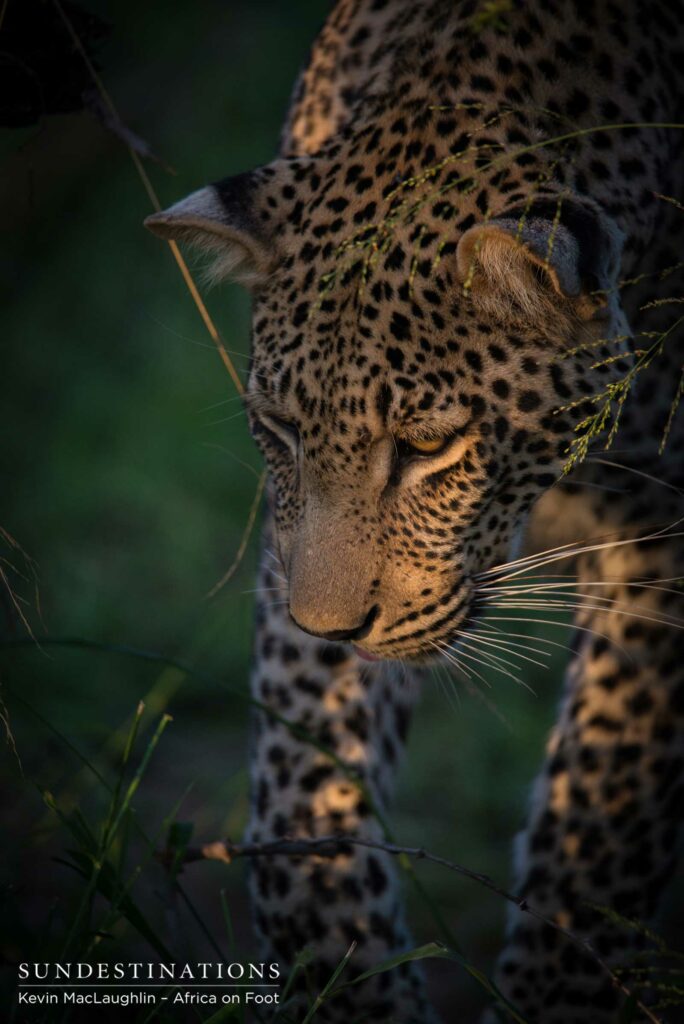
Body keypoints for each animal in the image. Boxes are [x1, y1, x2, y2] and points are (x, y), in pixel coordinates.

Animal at [145, 1, 684, 1021]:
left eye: (428, 447)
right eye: (281, 427)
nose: (333, 626)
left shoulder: (665, 535)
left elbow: (599, 825)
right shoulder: (294, 549)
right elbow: (299, 788)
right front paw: (346, 973)